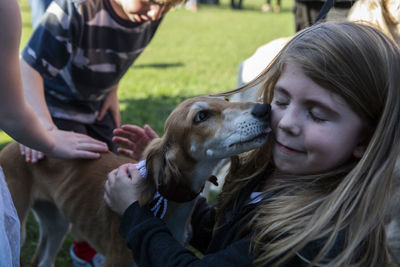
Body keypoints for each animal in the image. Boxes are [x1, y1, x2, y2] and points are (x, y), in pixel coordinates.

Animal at [0, 97, 272, 267]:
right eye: (201, 116)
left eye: (226, 101)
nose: (265, 109)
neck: (171, 205)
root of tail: (13, 145)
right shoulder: (116, 259)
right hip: (20, 228)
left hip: (57, 223)